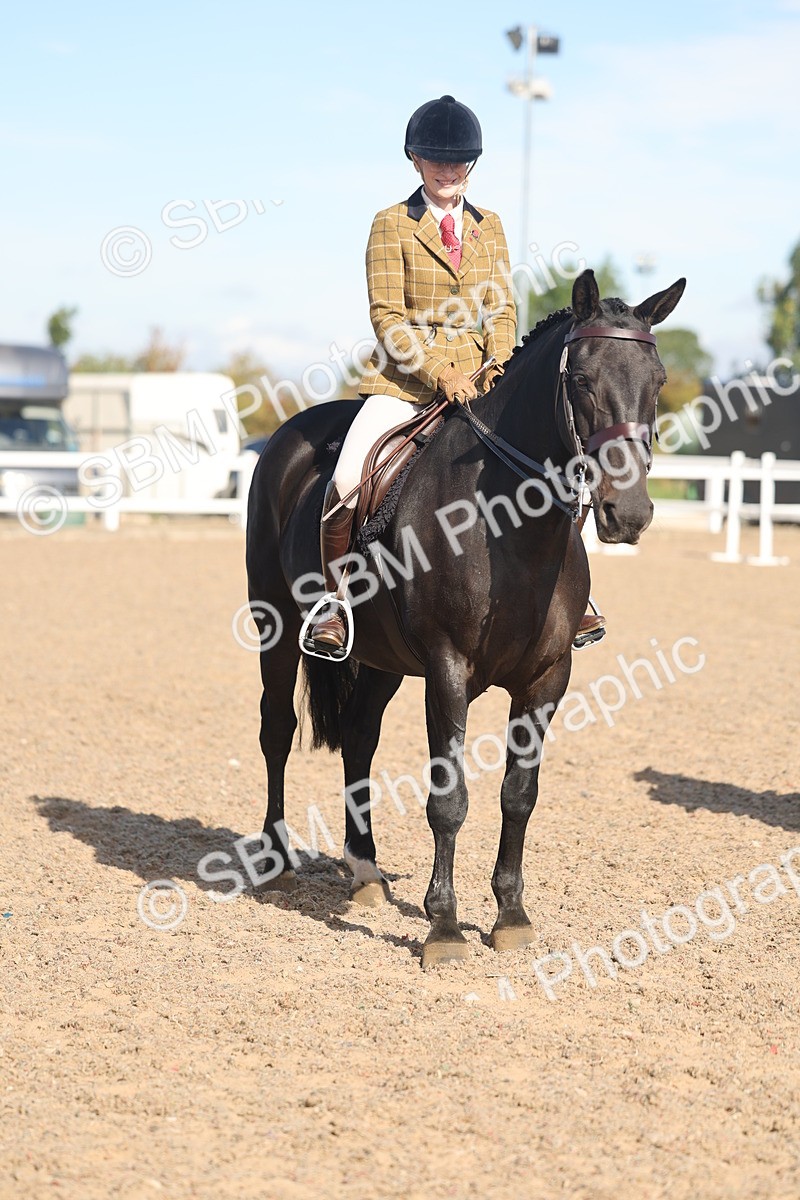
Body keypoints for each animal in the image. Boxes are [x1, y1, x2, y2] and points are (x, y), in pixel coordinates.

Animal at [245, 268, 685, 968]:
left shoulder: (545, 679)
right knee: (276, 730)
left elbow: (519, 795)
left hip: (382, 660)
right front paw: (444, 928)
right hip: (276, 627)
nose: (630, 513)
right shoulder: (448, 670)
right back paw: (276, 859)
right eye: (582, 379)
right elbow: (449, 799)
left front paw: (510, 915)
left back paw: (365, 872)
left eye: (659, 379)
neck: (510, 527)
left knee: (360, 739)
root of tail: (289, 434)